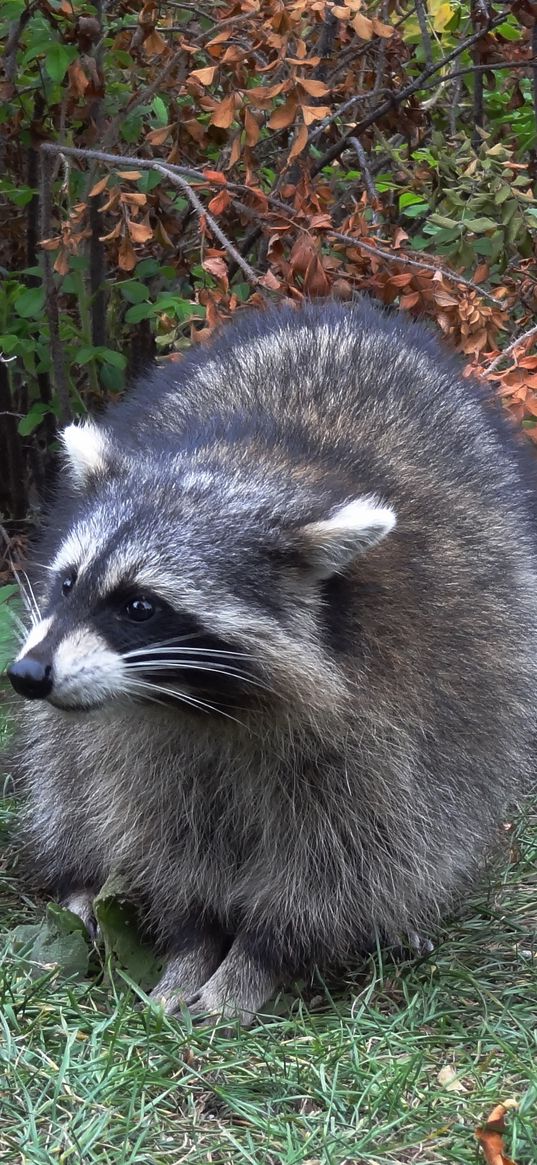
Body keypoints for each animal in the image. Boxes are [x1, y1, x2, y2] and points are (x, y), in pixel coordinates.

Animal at [7, 302, 535, 1029]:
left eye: (140, 605)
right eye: (67, 582)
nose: (27, 677)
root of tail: (344, 316)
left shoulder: (398, 712)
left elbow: (352, 857)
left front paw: (256, 958)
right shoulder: (140, 739)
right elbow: (165, 832)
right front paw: (194, 943)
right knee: (60, 768)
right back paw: (82, 878)